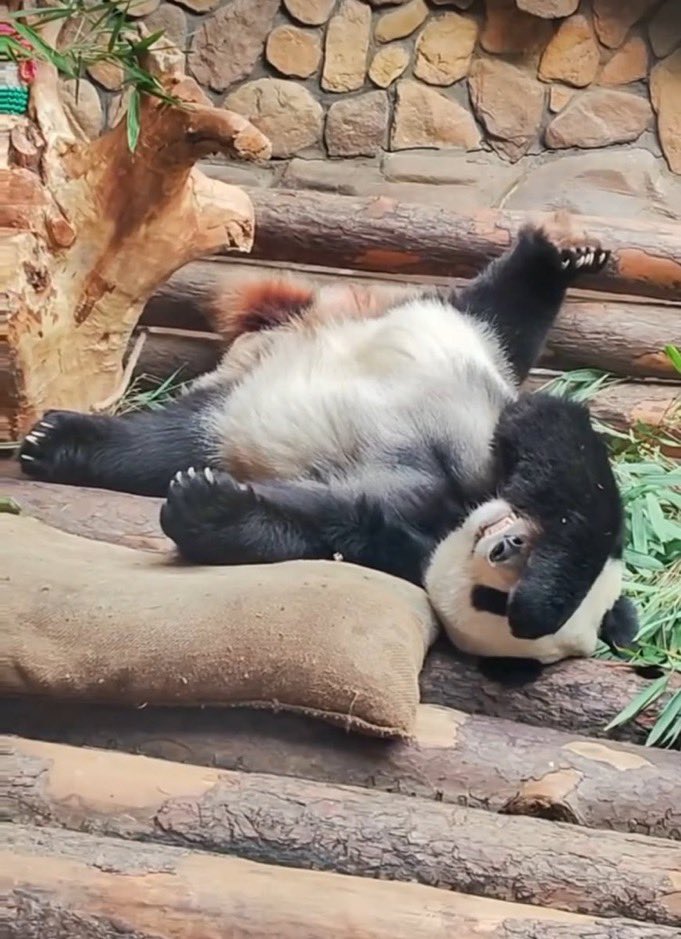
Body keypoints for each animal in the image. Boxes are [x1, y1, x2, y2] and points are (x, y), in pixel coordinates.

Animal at [17, 217, 639, 681]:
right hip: (457, 332)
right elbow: (563, 451)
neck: (458, 513)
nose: (505, 546)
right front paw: (545, 596)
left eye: (489, 602)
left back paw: (59, 446)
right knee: (505, 305)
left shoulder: (398, 540)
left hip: (227, 422)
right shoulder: (494, 449)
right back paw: (564, 256)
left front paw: (205, 508)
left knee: (160, 445)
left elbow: (328, 524)